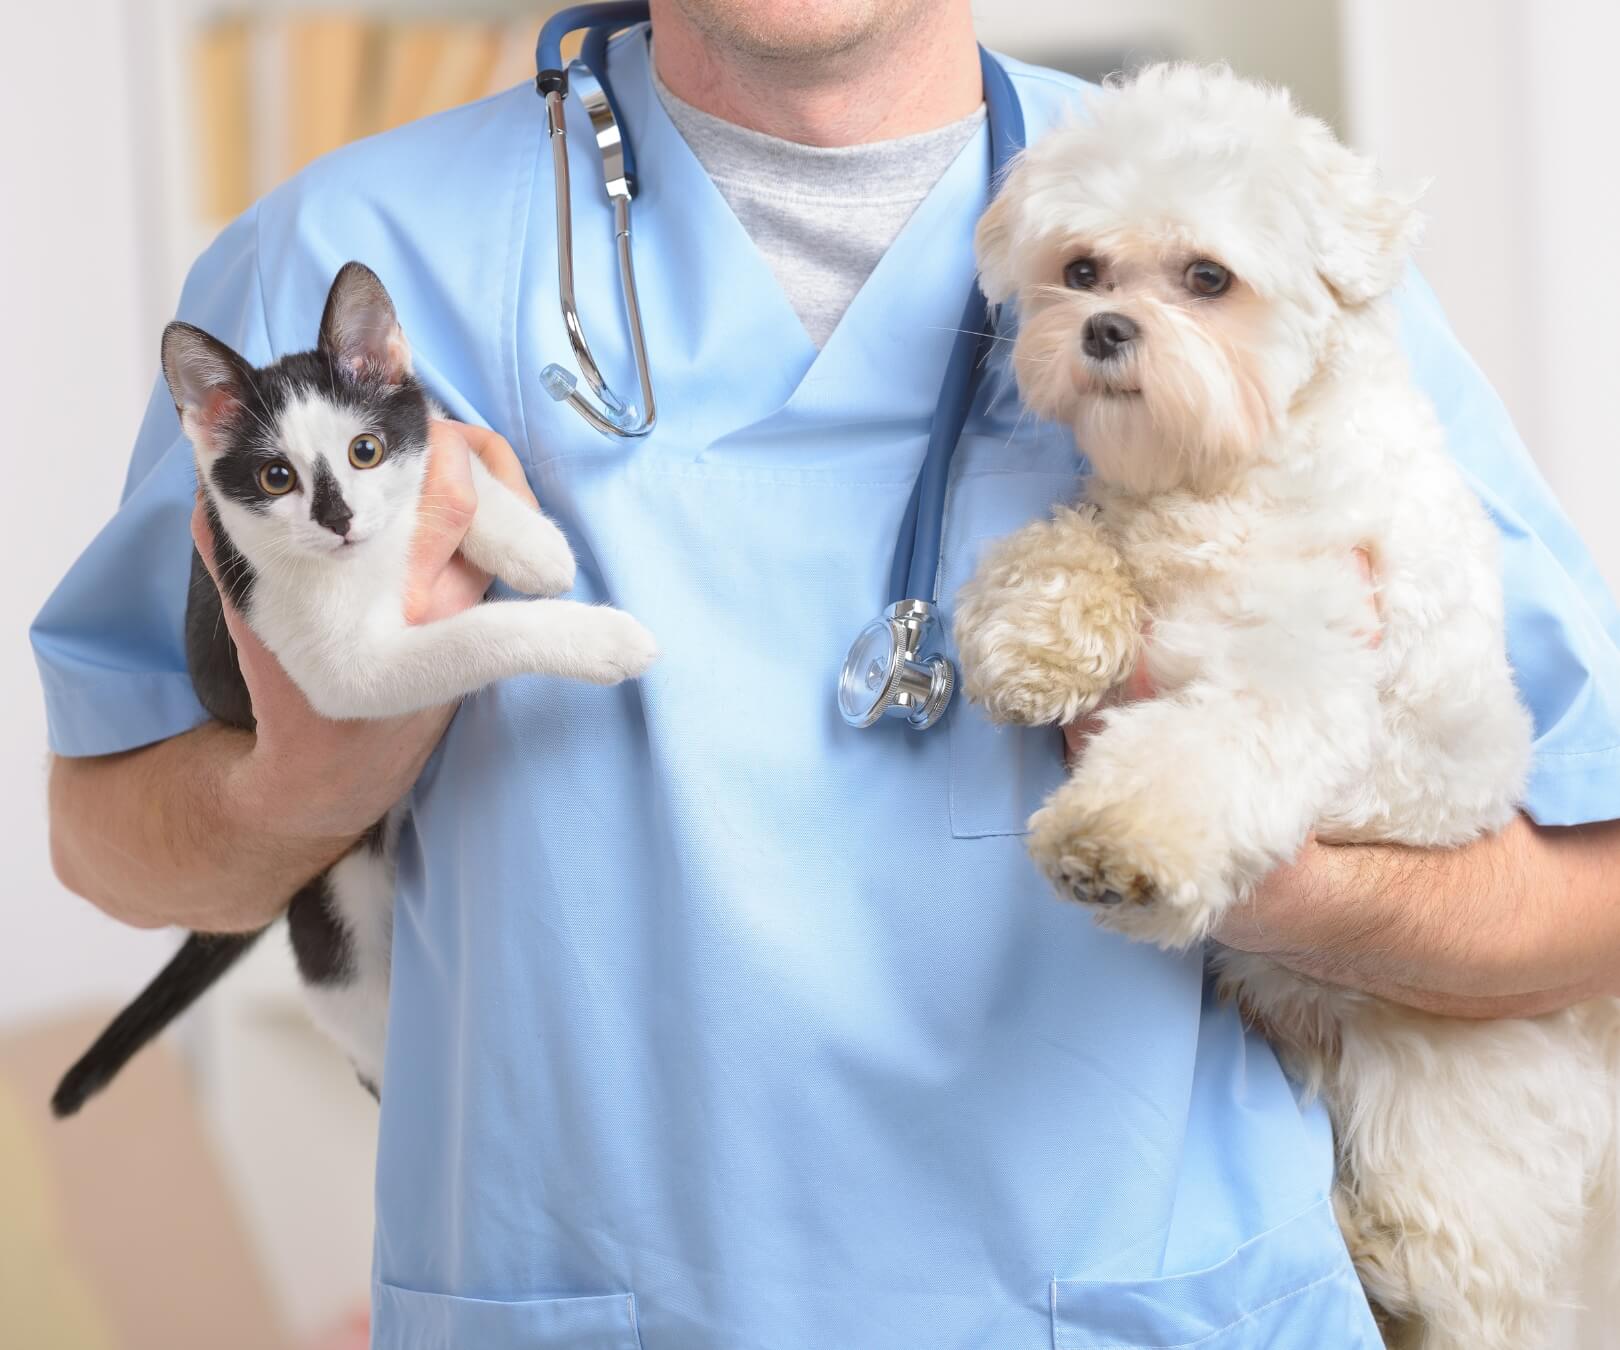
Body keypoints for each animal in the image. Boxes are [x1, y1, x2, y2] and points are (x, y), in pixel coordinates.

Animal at [52, 257, 657, 1108]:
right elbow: (475, 636)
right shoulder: (331, 660)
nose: (339, 520)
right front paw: (600, 637)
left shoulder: (424, 429)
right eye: (276, 477)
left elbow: (446, 453)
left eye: (364, 451)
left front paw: (530, 542)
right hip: (341, 934)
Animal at [952, 65, 1613, 1348]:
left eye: (1209, 278)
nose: (1104, 331)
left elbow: (1200, 754)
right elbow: (1068, 544)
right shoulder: (1123, 525)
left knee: (1469, 1267)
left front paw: (1116, 843)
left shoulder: (1299, 670)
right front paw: (1033, 635)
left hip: (1436, 1094)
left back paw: (1378, 1246)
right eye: (1082, 270)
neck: (1227, 467)